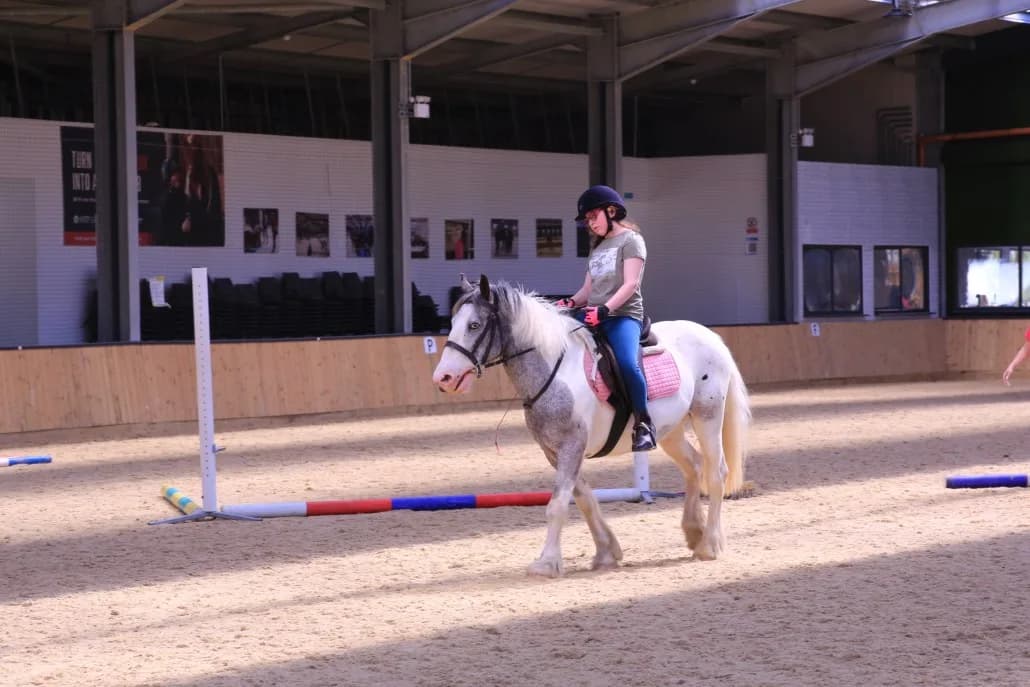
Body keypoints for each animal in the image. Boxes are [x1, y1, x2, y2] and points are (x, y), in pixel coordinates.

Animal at [432, 275, 751, 578]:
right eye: (453, 323)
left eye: (474, 325)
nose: (443, 378)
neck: (557, 371)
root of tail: (710, 336)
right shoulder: (555, 451)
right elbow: (583, 498)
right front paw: (607, 552)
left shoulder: (572, 445)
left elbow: (558, 504)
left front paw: (547, 563)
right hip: (669, 431)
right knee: (694, 466)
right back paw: (694, 532)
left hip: (707, 417)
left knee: (716, 472)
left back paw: (709, 543)